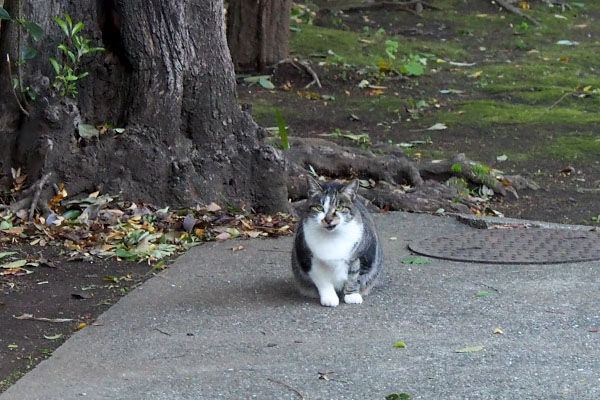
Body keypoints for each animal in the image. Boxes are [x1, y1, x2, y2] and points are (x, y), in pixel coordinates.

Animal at [292, 177, 384, 306]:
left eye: (340, 208)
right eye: (319, 208)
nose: (328, 219)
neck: (332, 237)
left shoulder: (363, 256)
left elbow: (355, 276)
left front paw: (352, 295)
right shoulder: (308, 258)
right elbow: (322, 279)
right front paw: (329, 297)